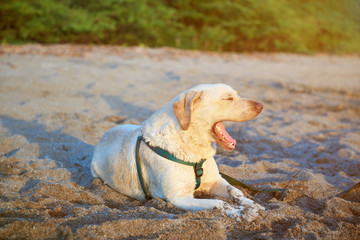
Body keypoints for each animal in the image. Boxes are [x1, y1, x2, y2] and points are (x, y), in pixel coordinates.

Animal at [90, 84, 264, 221]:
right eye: (227, 99)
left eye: (236, 94)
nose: (261, 105)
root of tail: (105, 134)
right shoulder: (179, 197)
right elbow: (219, 204)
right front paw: (239, 212)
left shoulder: (214, 181)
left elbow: (235, 191)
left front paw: (250, 204)